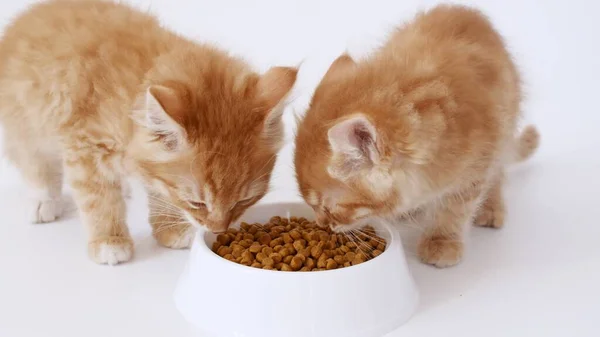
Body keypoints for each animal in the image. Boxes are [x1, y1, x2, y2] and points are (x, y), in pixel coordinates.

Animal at [0, 0, 298, 264]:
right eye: (197, 203)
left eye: (244, 200)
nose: (217, 229)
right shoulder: (85, 147)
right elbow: (98, 198)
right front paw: (109, 242)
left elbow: (158, 191)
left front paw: (170, 229)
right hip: (24, 124)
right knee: (36, 166)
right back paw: (43, 201)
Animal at [294, 4, 540, 268]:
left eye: (328, 208)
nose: (321, 223)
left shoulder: (478, 161)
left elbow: (455, 207)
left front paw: (442, 243)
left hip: (506, 122)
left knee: (498, 171)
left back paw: (491, 208)